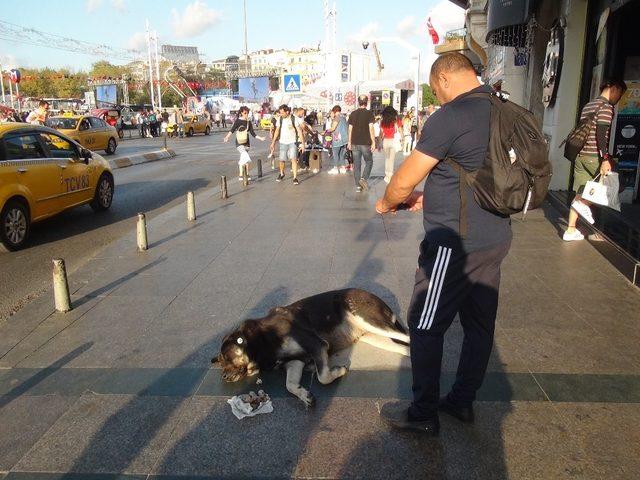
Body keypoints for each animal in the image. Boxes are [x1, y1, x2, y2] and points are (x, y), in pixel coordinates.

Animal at [211, 288, 410, 404]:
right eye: (221, 363)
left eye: (228, 358)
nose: (224, 378)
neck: (260, 343)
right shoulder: (295, 362)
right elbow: (289, 384)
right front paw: (303, 394)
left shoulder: (318, 345)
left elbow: (323, 377)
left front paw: (339, 370)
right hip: (373, 336)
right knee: (405, 348)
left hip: (370, 321)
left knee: (408, 336)